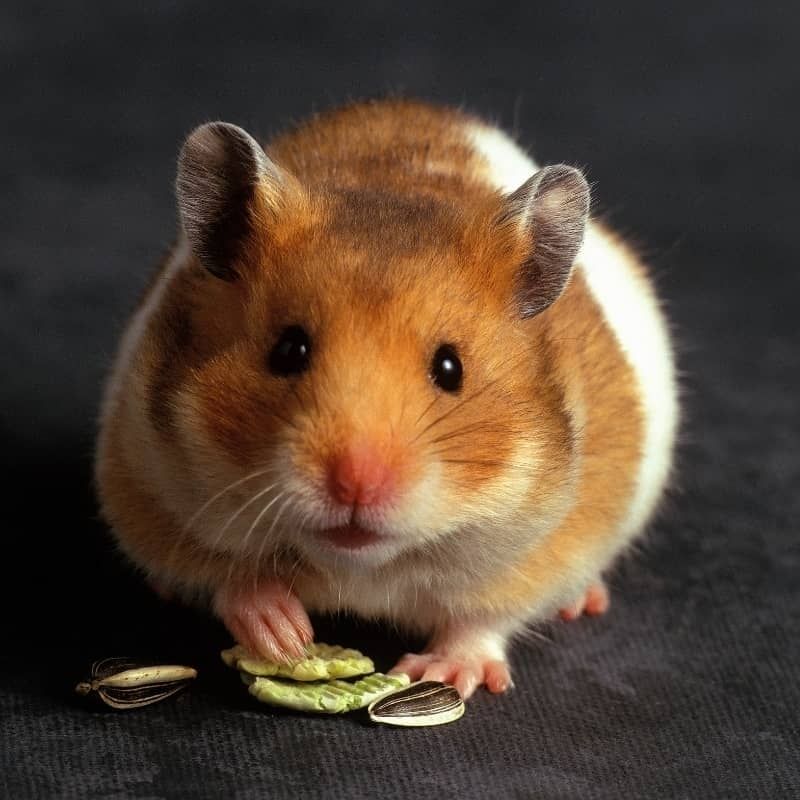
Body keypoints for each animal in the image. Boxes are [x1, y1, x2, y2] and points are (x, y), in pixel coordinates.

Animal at [95, 98, 678, 699]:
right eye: (288, 350)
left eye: (450, 368)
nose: (356, 485)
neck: (362, 564)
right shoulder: (146, 485)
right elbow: (226, 577)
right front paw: (285, 636)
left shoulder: (547, 547)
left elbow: (483, 619)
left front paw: (440, 674)